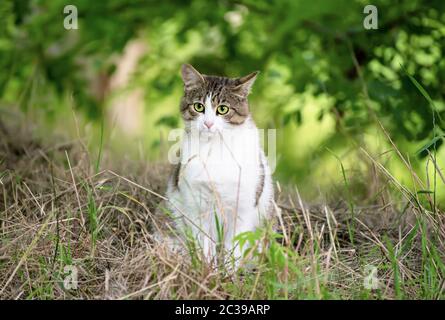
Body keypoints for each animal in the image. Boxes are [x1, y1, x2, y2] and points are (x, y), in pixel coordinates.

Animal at [161, 64, 276, 268]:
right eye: (199, 106)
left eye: (223, 109)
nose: (208, 123)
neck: (215, 148)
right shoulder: (198, 206)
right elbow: (205, 245)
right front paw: (208, 270)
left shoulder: (242, 208)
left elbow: (234, 248)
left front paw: (229, 274)